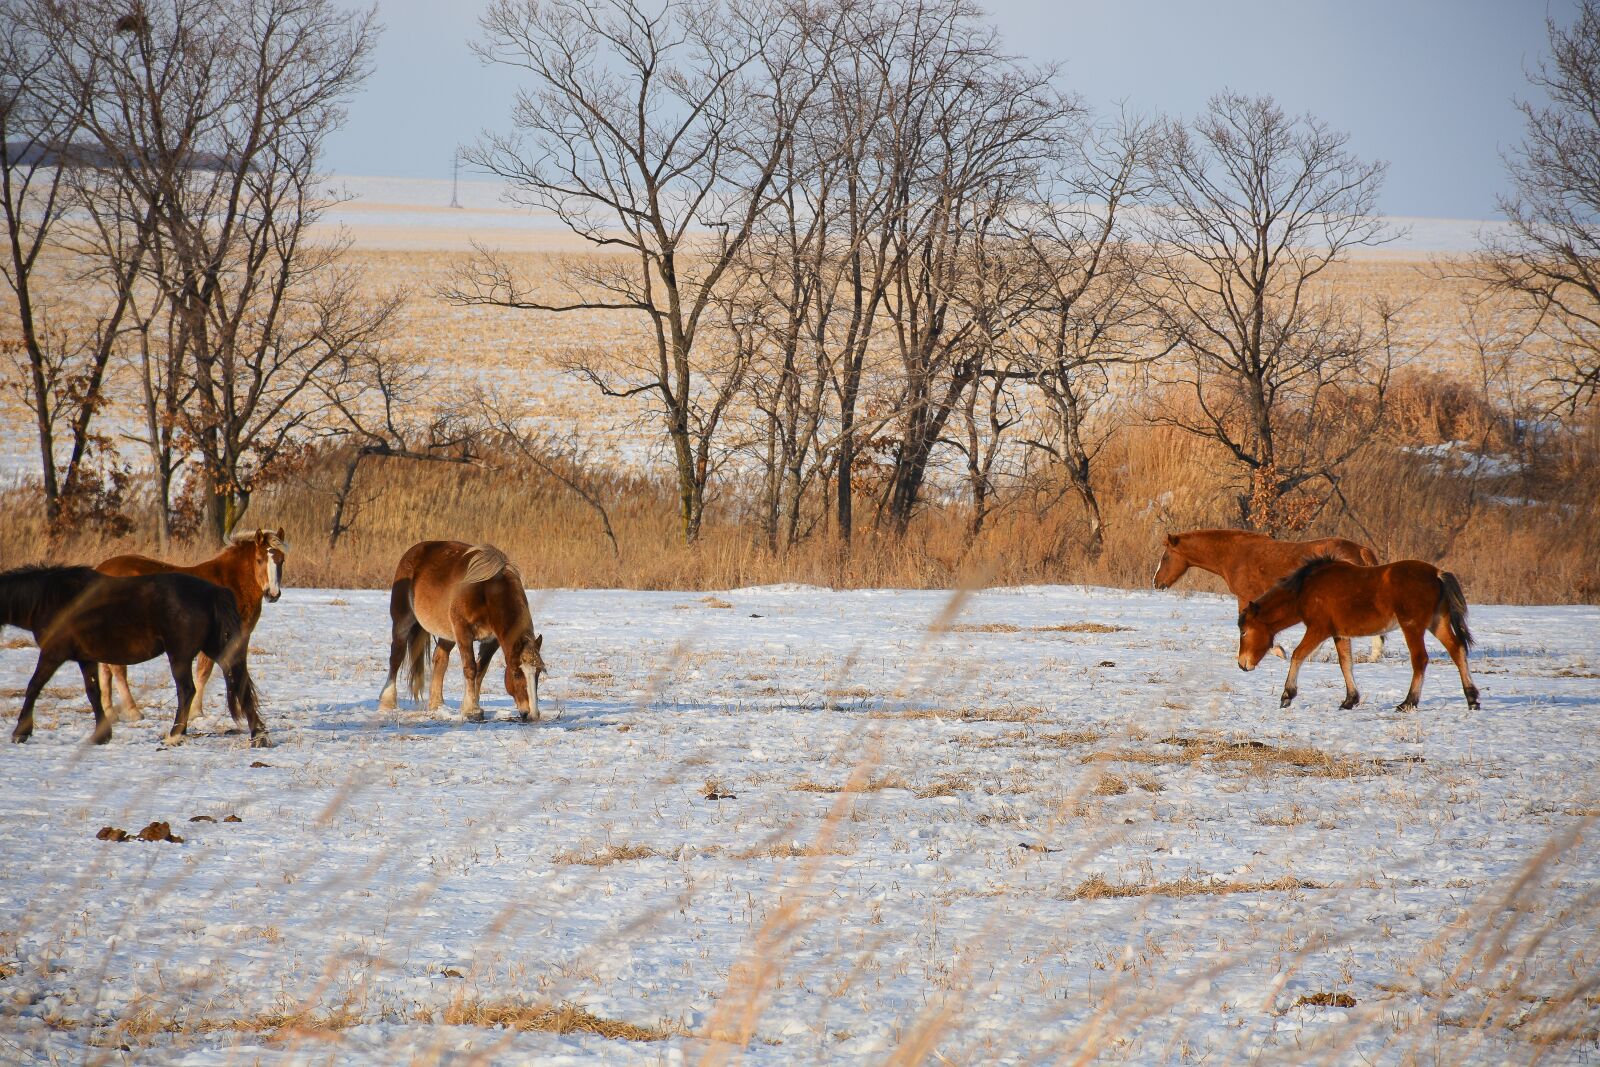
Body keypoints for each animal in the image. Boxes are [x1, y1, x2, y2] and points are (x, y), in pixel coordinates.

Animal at [0, 566, 265, 745]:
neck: (54, 600)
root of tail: (213, 592)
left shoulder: (52, 654)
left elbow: (33, 687)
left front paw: (21, 732)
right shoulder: (86, 658)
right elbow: (93, 692)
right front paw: (101, 735)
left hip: (179, 656)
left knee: (187, 691)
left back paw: (174, 734)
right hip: (216, 649)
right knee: (239, 683)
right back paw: (258, 734)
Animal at [95, 528, 285, 723]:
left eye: (281, 560)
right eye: (259, 559)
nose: (273, 594)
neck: (230, 583)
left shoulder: (242, 636)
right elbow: (204, 672)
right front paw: (196, 712)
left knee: (106, 668)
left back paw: (109, 712)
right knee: (117, 669)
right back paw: (133, 711)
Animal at [377, 541, 546, 723]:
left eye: (537, 673)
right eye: (516, 674)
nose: (532, 714)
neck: (486, 592)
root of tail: (413, 551)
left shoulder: (492, 641)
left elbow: (480, 670)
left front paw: (471, 704)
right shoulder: (463, 632)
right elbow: (470, 668)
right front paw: (472, 710)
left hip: (447, 633)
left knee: (440, 660)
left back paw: (437, 705)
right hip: (402, 621)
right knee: (396, 657)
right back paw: (387, 703)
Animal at [1153, 528, 1386, 661]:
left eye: (1165, 558)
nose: (1156, 582)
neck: (1234, 555)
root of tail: (1361, 549)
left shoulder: (1245, 596)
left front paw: (1274, 651)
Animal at [1237, 557, 1480, 714]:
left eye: (1244, 630)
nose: (1242, 664)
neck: (1305, 590)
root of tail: (1437, 574)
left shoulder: (1318, 629)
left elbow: (1298, 655)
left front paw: (1287, 695)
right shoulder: (1339, 634)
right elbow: (1346, 663)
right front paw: (1349, 700)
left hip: (1412, 626)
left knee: (1420, 659)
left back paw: (1408, 702)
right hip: (1438, 623)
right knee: (1457, 650)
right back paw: (1472, 698)